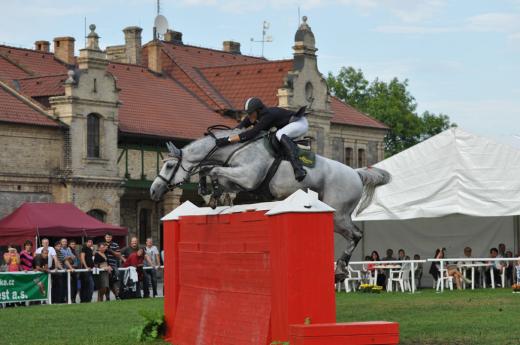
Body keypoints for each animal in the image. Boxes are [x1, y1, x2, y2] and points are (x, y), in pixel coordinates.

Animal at [148, 127, 388, 262]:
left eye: (169, 165)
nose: (153, 190)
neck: (233, 149)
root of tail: (356, 174)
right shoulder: (239, 181)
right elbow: (212, 172)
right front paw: (211, 193)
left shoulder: (247, 177)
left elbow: (213, 170)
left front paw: (212, 192)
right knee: (353, 234)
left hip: (338, 214)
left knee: (355, 234)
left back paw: (340, 270)